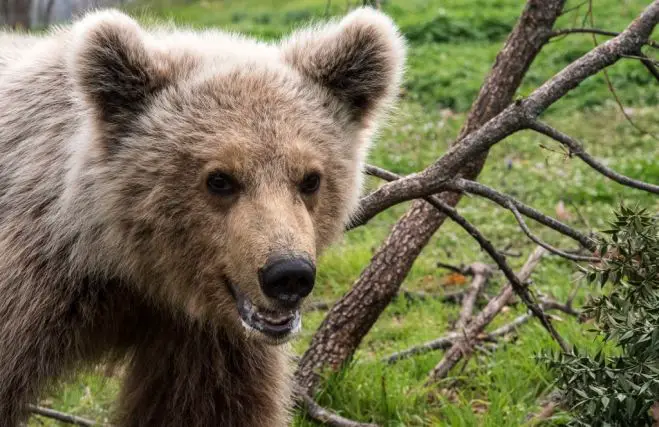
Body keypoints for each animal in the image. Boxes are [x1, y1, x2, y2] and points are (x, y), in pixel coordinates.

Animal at [0, 7, 404, 427]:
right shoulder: (32, 292)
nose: (288, 274)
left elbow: (208, 408)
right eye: (220, 179)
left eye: (311, 179)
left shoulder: (209, 342)